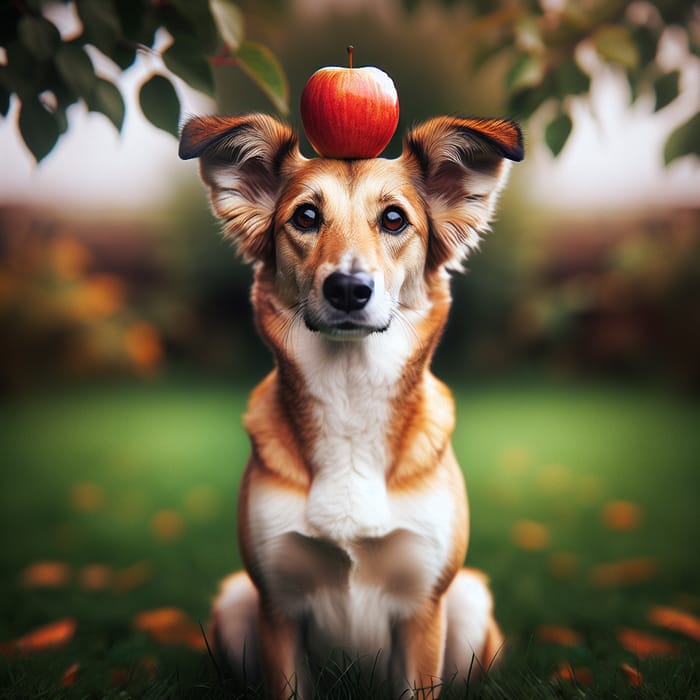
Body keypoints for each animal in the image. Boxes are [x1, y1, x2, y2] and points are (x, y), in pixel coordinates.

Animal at [178, 112, 524, 696]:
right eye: (306, 216)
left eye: (394, 219)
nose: (347, 288)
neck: (349, 398)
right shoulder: (277, 604)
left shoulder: (423, 606)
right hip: (235, 600)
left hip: (470, 599)